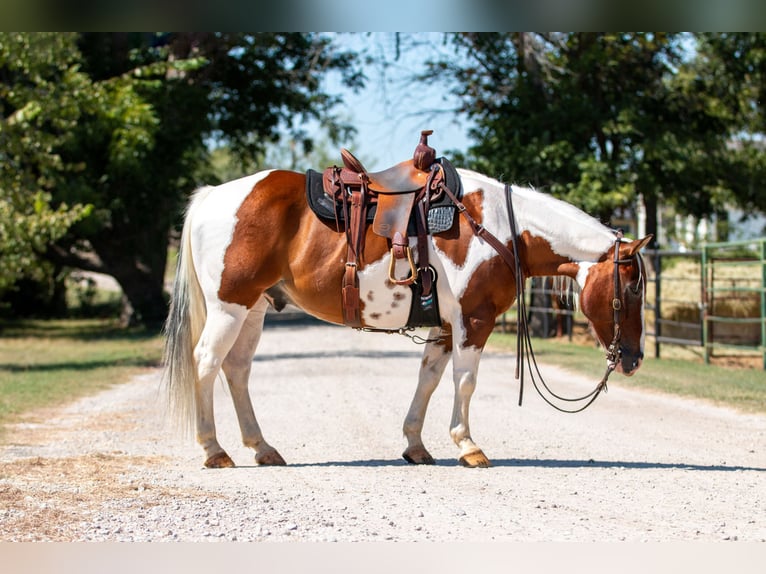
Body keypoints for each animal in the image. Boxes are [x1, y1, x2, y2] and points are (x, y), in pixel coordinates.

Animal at [164, 146, 656, 470]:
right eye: (633, 287)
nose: (633, 360)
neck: (501, 229)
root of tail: (213, 195)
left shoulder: (444, 326)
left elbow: (429, 380)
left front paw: (416, 446)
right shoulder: (473, 320)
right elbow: (464, 382)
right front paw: (468, 446)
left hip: (254, 309)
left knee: (237, 370)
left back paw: (262, 448)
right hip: (230, 307)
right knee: (207, 362)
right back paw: (214, 450)